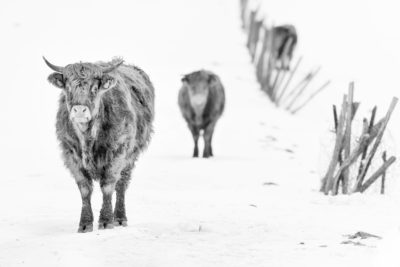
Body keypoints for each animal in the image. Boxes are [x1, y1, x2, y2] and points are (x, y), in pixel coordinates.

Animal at [44, 56, 155, 232]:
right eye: (68, 87)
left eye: (95, 88)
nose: (79, 110)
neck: (88, 138)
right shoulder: (71, 155)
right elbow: (84, 189)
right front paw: (85, 224)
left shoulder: (118, 153)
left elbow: (108, 186)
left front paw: (106, 221)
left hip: (131, 156)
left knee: (121, 185)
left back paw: (120, 218)